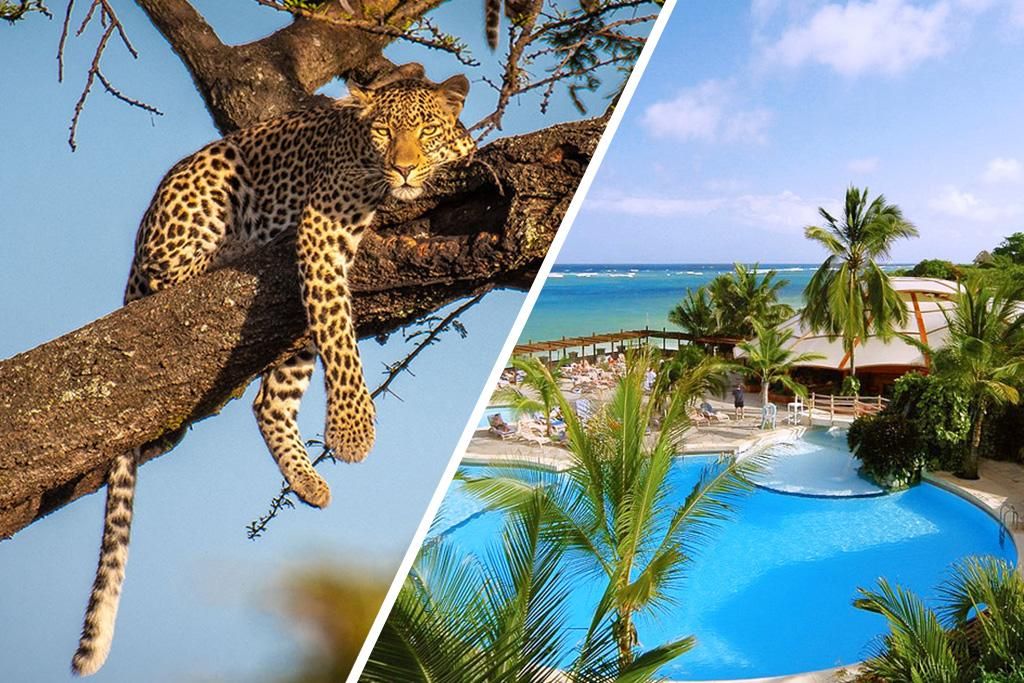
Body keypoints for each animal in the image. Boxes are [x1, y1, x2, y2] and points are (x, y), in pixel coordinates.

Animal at [70, 62, 475, 677]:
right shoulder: (323, 227)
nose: (404, 167)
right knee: (175, 276)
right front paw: (353, 433)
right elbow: (341, 333)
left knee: (269, 400)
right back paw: (231, 251)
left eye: (426, 130)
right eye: (383, 132)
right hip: (210, 184)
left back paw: (307, 482)